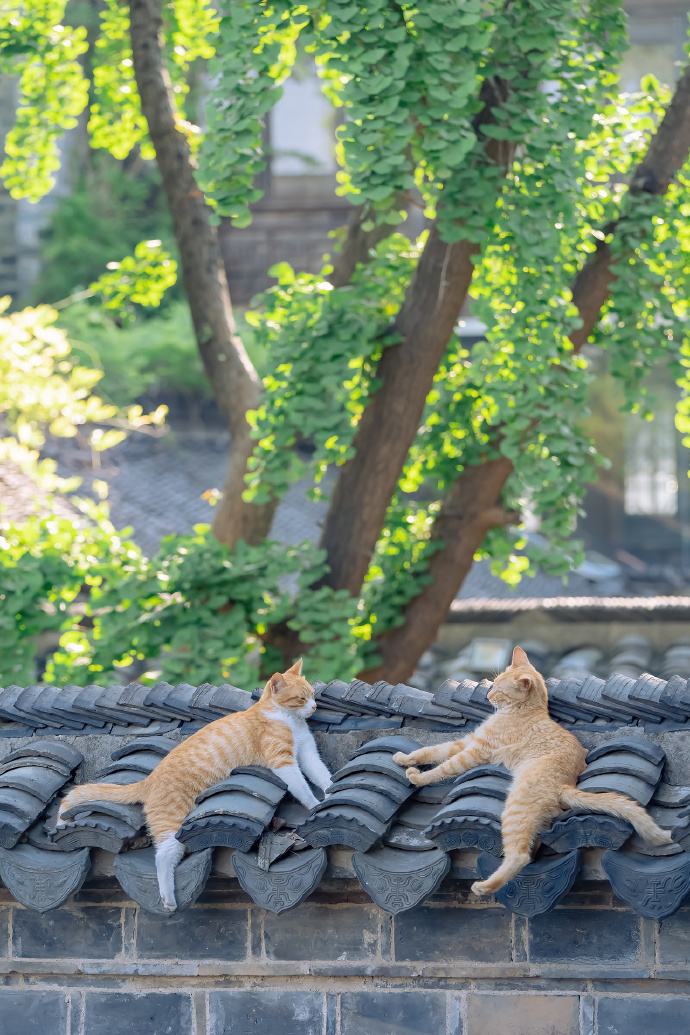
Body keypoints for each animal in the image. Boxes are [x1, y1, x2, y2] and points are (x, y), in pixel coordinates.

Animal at [56, 662, 331, 914]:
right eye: (302, 698)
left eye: (313, 695)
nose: (315, 707)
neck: (285, 718)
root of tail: (149, 780)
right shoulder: (282, 760)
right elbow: (301, 786)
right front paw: (314, 805)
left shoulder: (307, 754)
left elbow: (322, 775)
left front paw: (329, 794)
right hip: (172, 823)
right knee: (162, 856)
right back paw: (168, 899)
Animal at [393, 645, 674, 898]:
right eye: (492, 685)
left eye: (498, 689)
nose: (487, 697)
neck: (524, 710)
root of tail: (566, 785)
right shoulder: (467, 742)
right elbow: (432, 750)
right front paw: (405, 758)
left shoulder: (475, 751)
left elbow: (444, 767)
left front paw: (419, 777)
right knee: (531, 848)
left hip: (515, 807)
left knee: (520, 856)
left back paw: (485, 886)